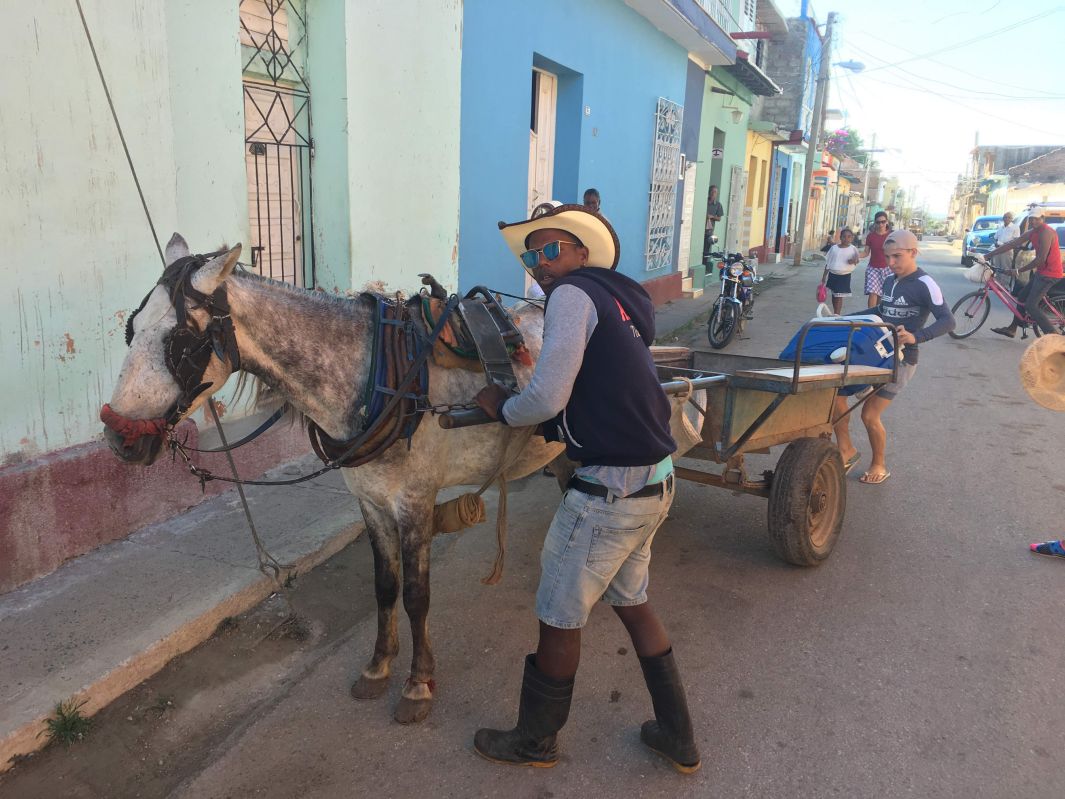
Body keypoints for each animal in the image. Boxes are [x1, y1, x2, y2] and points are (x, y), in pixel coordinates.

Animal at [101, 233, 566, 724]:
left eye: (183, 342)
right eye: (131, 329)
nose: (118, 437)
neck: (382, 379)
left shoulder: (415, 502)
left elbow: (416, 595)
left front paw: (418, 684)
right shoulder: (370, 500)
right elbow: (384, 586)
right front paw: (378, 667)